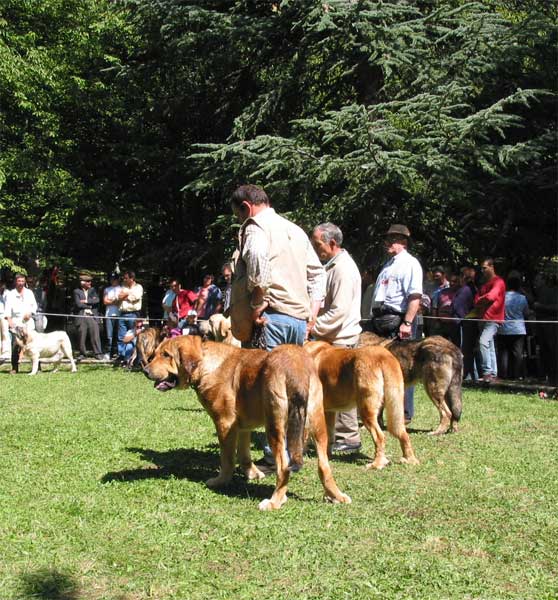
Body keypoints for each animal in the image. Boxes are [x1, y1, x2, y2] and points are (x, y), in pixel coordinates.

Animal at [147, 336, 352, 508]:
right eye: (155, 353)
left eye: (166, 355)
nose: (145, 370)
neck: (206, 364)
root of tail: (295, 367)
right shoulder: (243, 426)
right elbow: (244, 454)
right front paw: (253, 475)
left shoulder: (225, 424)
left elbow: (227, 459)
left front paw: (220, 481)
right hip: (318, 425)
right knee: (323, 466)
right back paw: (336, 496)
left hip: (275, 428)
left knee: (283, 468)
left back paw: (274, 502)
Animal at [304, 340, 418, 472]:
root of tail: (383, 356)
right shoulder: (329, 411)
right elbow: (329, 435)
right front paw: (327, 454)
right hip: (396, 406)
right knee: (403, 433)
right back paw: (409, 459)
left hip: (366, 410)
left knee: (380, 437)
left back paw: (377, 464)